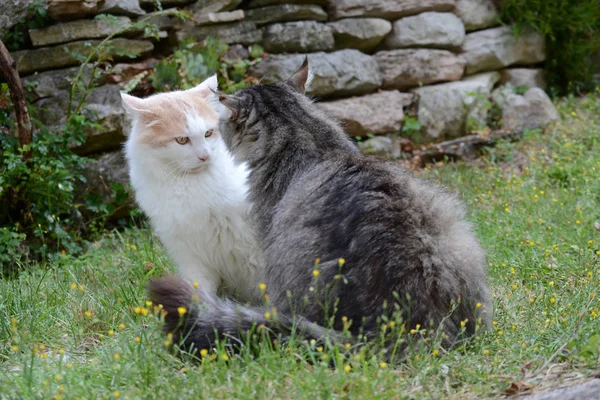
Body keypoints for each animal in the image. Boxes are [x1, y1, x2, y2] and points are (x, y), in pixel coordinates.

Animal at [120, 76, 262, 304]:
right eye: (182, 140)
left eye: (208, 133)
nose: (205, 156)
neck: (190, 184)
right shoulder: (192, 257)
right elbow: (201, 293)